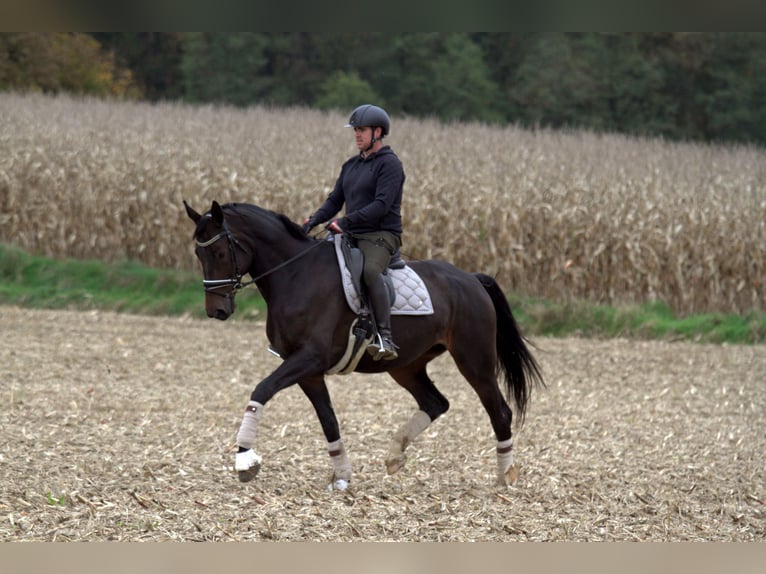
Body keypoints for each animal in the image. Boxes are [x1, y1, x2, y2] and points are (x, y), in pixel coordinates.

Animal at [183, 201, 544, 490]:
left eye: (219, 252)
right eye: (198, 253)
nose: (216, 311)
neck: (296, 275)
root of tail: (471, 279)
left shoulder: (309, 359)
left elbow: (261, 390)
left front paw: (245, 459)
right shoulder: (308, 372)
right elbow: (328, 420)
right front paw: (342, 476)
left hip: (474, 360)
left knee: (499, 411)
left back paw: (505, 476)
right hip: (406, 366)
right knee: (435, 402)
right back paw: (395, 456)